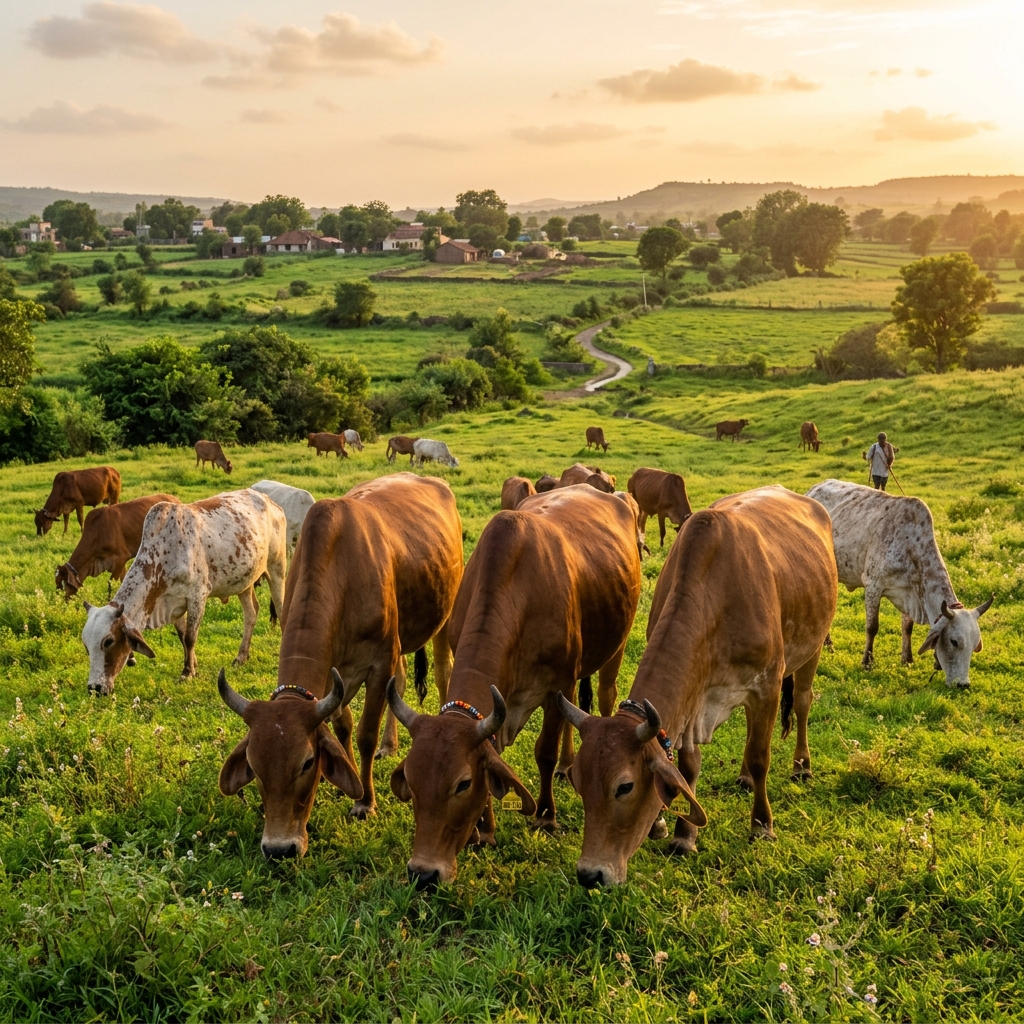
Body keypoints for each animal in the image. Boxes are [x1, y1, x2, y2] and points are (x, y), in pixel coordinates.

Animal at [81, 489, 288, 694]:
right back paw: (241, 657)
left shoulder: (198, 596)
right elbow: (182, 636)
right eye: (86, 646)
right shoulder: (172, 604)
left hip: (276, 568)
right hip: (244, 580)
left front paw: (187, 672)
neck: (164, 553)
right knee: (251, 613)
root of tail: (269, 501)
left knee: (280, 607)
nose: (94, 688)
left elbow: (190, 637)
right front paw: (193, 666)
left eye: (108, 641)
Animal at [216, 473, 464, 858]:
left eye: (305, 763)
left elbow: (364, 734)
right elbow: (343, 726)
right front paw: (345, 779)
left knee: (441, 674)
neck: (340, 569)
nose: (279, 849)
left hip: (444, 614)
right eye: (254, 766)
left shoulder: (379, 664)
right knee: (401, 683)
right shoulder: (337, 677)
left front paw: (365, 801)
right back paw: (390, 745)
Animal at [385, 484, 642, 887]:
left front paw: (546, 816)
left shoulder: (556, 685)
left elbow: (544, 752)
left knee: (604, 697)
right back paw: (569, 765)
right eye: (411, 781)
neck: (516, 586)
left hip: (615, 645)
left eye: (461, 784)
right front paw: (485, 830)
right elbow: (495, 756)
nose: (423, 873)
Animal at [559, 486, 837, 886]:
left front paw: (762, 825)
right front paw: (683, 835)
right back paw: (743, 778)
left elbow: (761, 757)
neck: (716, 594)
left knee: (801, 701)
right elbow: (689, 767)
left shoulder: (766, 687)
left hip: (812, 648)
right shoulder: (693, 701)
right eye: (578, 782)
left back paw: (801, 764)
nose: (590, 874)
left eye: (624, 786)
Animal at [807, 479, 992, 687]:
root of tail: (814, 488)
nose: (963, 684)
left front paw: (907, 659)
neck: (911, 545)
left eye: (975, 644)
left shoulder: (909, 594)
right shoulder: (873, 585)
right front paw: (867, 662)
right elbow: (872, 627)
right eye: (954, 641)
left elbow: (907, 627)